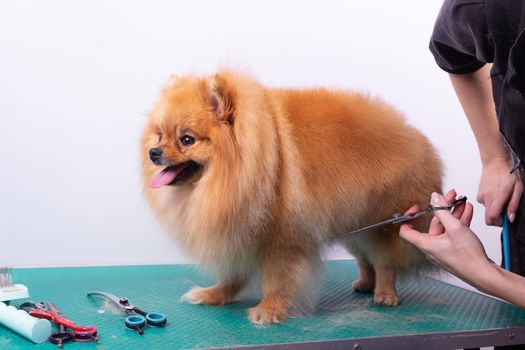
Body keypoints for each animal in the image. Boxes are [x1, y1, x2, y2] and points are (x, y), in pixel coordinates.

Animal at [140, 70, 442, 326]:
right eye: (160, 134)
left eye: (187, 139)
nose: (154, 152)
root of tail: (417, 138)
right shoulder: (238, 231)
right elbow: (231, 275)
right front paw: (213, 295)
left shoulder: (283, 239)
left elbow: (277, 280)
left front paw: (269, 310)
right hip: (353, 224)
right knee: (364, 258)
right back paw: (366, 283)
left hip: (385, 225)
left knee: (384, 261)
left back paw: (385, 293)